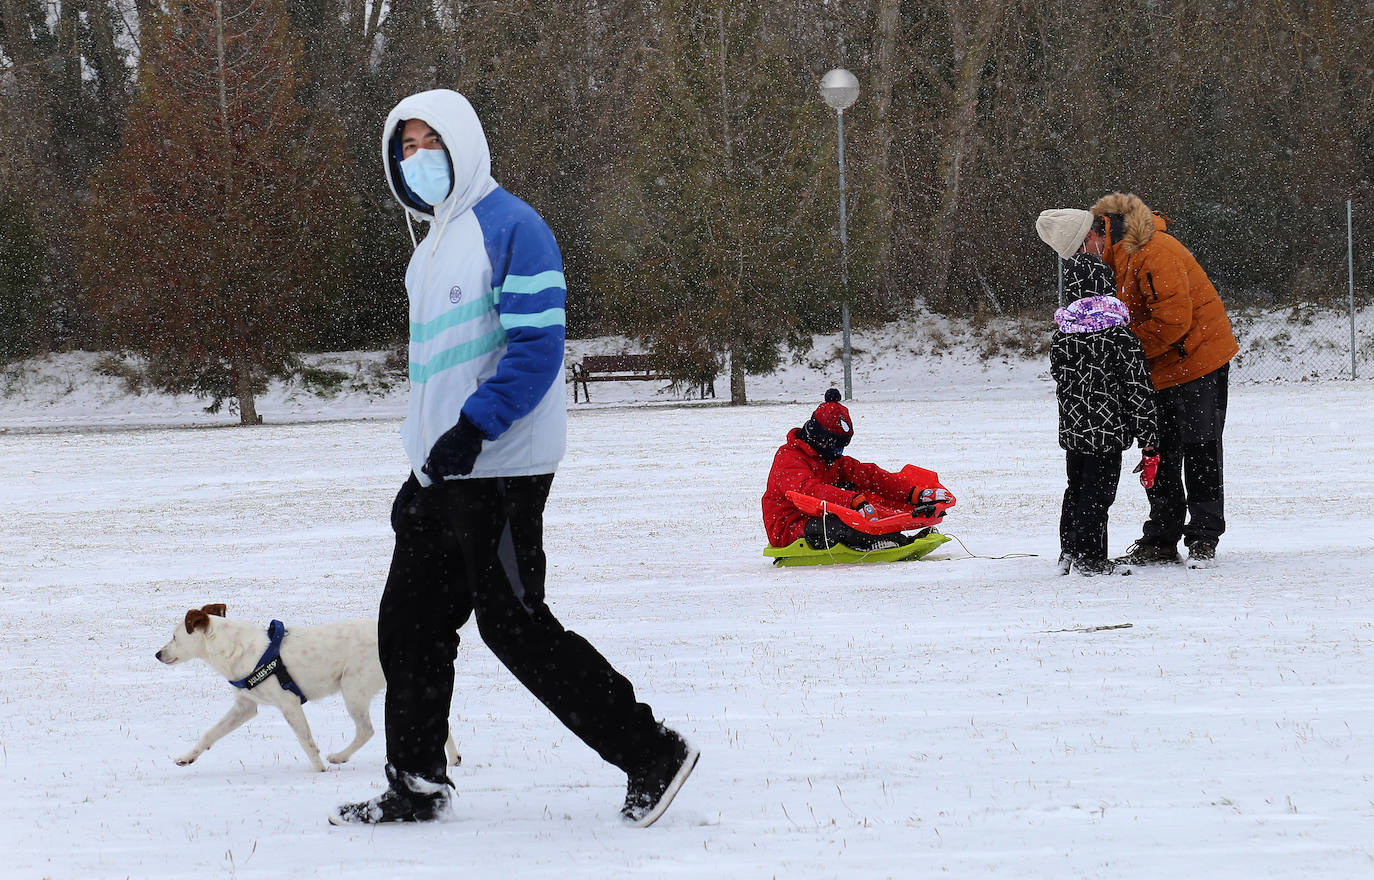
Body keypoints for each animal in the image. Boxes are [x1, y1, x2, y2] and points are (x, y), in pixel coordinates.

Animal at [153, 605, 458, 770]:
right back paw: (451, 757)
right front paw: (187, 757)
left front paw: (319, 769)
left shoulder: (288, 703)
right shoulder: (246, 706)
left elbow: (307, 741)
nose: (157, 654)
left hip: (353, 686)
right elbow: (210, 733)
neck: (235, 649)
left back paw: (339, 757)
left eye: (175, 636)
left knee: (366, 730)